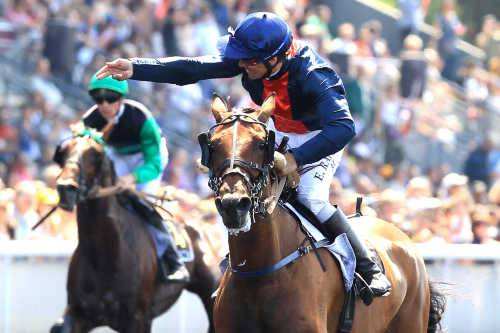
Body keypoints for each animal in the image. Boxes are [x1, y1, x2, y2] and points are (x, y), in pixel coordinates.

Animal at [49, 134, 219, 330]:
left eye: (95, 154)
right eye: (63, 152)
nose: (66, 188)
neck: (106, 252)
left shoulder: (137, 318)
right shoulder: (79, 312)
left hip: (211, 290)